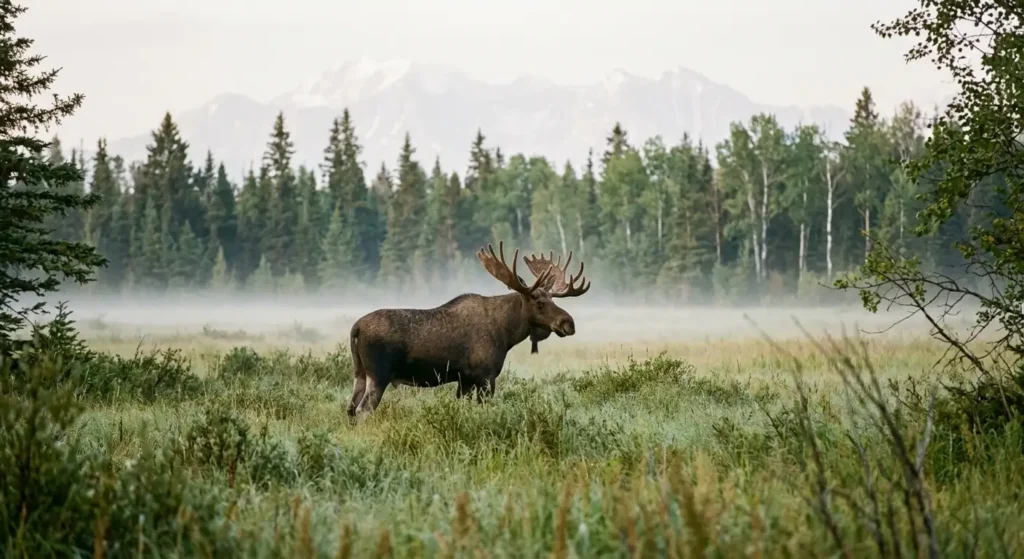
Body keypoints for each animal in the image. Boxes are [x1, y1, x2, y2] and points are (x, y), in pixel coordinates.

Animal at [346, 242, 591, 416]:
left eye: (552, 299)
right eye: (539, 303)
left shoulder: (464, 379)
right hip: (379, 374)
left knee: (349, 409)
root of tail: (356, 327)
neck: (507, 333)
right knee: (363, 410)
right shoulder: (485, 376)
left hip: (360, 373)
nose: (568, 323)